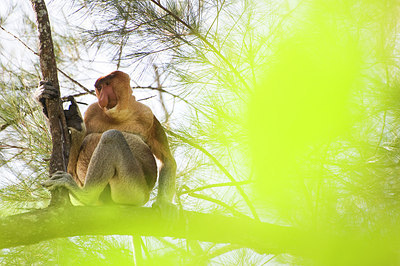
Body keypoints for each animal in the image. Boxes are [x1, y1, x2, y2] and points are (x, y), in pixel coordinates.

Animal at [36, 70, 177, 210]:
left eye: (108, 84)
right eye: (99, 88)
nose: (102, 98)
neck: (119, 116)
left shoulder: (147, 115)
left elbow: (166, 159)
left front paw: (164, 203)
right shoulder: (92, 110)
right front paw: (43, 95)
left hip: (136, 192)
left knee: (112, 137)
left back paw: (85, 195)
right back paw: (75, 121)